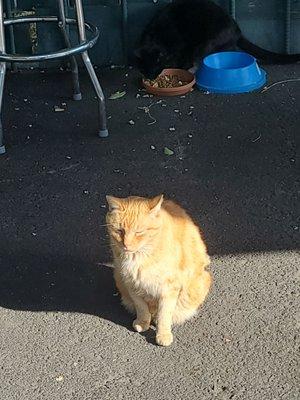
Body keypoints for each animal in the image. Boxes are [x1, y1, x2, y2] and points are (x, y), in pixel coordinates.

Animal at [105, 195, 211, 346]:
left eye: (139, 232)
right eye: (120, 231)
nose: (126, 245)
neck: (139, 257)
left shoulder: (169, 288)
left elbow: (164, 314)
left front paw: (163, 334)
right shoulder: (132, 285)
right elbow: (141, 307)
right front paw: (143, 322)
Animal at [137, 0, 300, 79]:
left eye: (157, 65)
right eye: (145, 66)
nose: (150, 77)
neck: (155, 36)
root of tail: (236, 29)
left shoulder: (182, 46)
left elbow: (181, 58)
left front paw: (180, 67)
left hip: (207, 43)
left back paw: (193, 69)